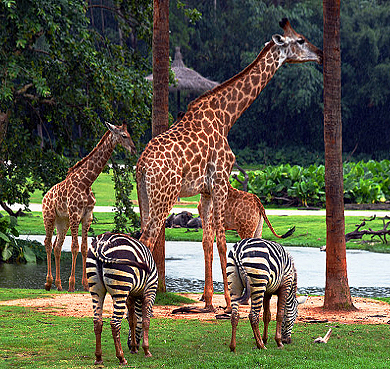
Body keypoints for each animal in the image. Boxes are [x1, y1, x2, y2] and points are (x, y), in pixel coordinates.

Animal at [42, 122, 136, 292]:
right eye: (124, 135)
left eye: (129, 134)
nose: (133, 149)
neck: (86, 182)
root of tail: (45, 196)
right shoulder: (75, 213)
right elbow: (74, 246)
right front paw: (72, 285)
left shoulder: (87, 216)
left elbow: (84, 247)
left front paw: (86, 284)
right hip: (49, 216)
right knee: (47, 243)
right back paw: (48, 282)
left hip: (62, 221)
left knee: (57, 246)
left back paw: (58, 284)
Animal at [86, 231, 158, 364]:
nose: (129, 346)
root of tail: (101, 244)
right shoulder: (150, 290)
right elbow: (145, 321)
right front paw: (146, 350)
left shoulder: (130, 295)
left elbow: (132, 320)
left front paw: (134, 348)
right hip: (120, 288)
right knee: (115, 323)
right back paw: (121, 357)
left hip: (96, 288)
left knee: (97, 322)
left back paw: (98, 358)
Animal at [136, 18, 322, 310]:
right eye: (301, 40)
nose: (321, 54)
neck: (227, 117)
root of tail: (142, 164)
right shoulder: (221, 180)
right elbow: (223, 241)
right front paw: (226, 300)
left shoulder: (206, 191)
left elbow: (207, 240)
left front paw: (208, 301)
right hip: (165, 195)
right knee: (148, 239)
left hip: (145, 195)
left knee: (141, 236)